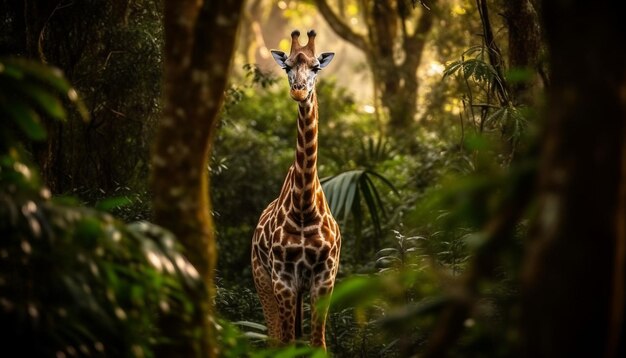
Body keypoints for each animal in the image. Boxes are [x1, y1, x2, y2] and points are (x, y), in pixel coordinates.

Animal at [250, 30, 342, 350]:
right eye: (287, 66)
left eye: (316, 67)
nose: (299, 92)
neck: (304, 206)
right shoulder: (283, 278)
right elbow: (286, 342)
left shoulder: (325, 276)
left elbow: (319, 344)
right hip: (261, 277)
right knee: (274, 337)